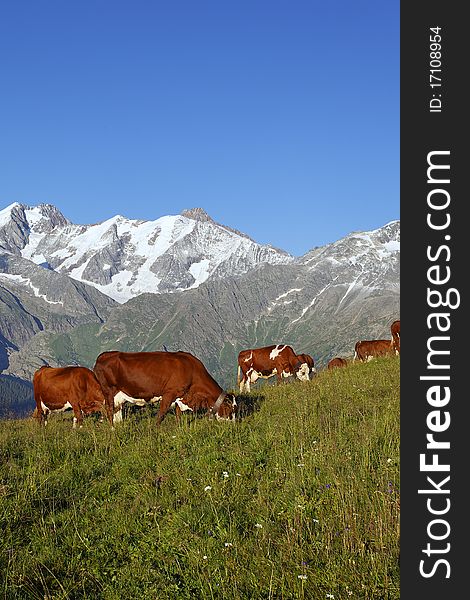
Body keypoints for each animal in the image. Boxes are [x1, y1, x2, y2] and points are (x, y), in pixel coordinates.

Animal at [93, 350, 237, 424]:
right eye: (231, 409)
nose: (234, 424)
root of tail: (104, 355)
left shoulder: (180, 395)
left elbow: (178, 414)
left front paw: (179, 428)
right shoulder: (169, 393)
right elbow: (161, 416)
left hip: (118, 395)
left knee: (115, 411)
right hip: (108, 391)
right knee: (109, 410)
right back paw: (112, 430)